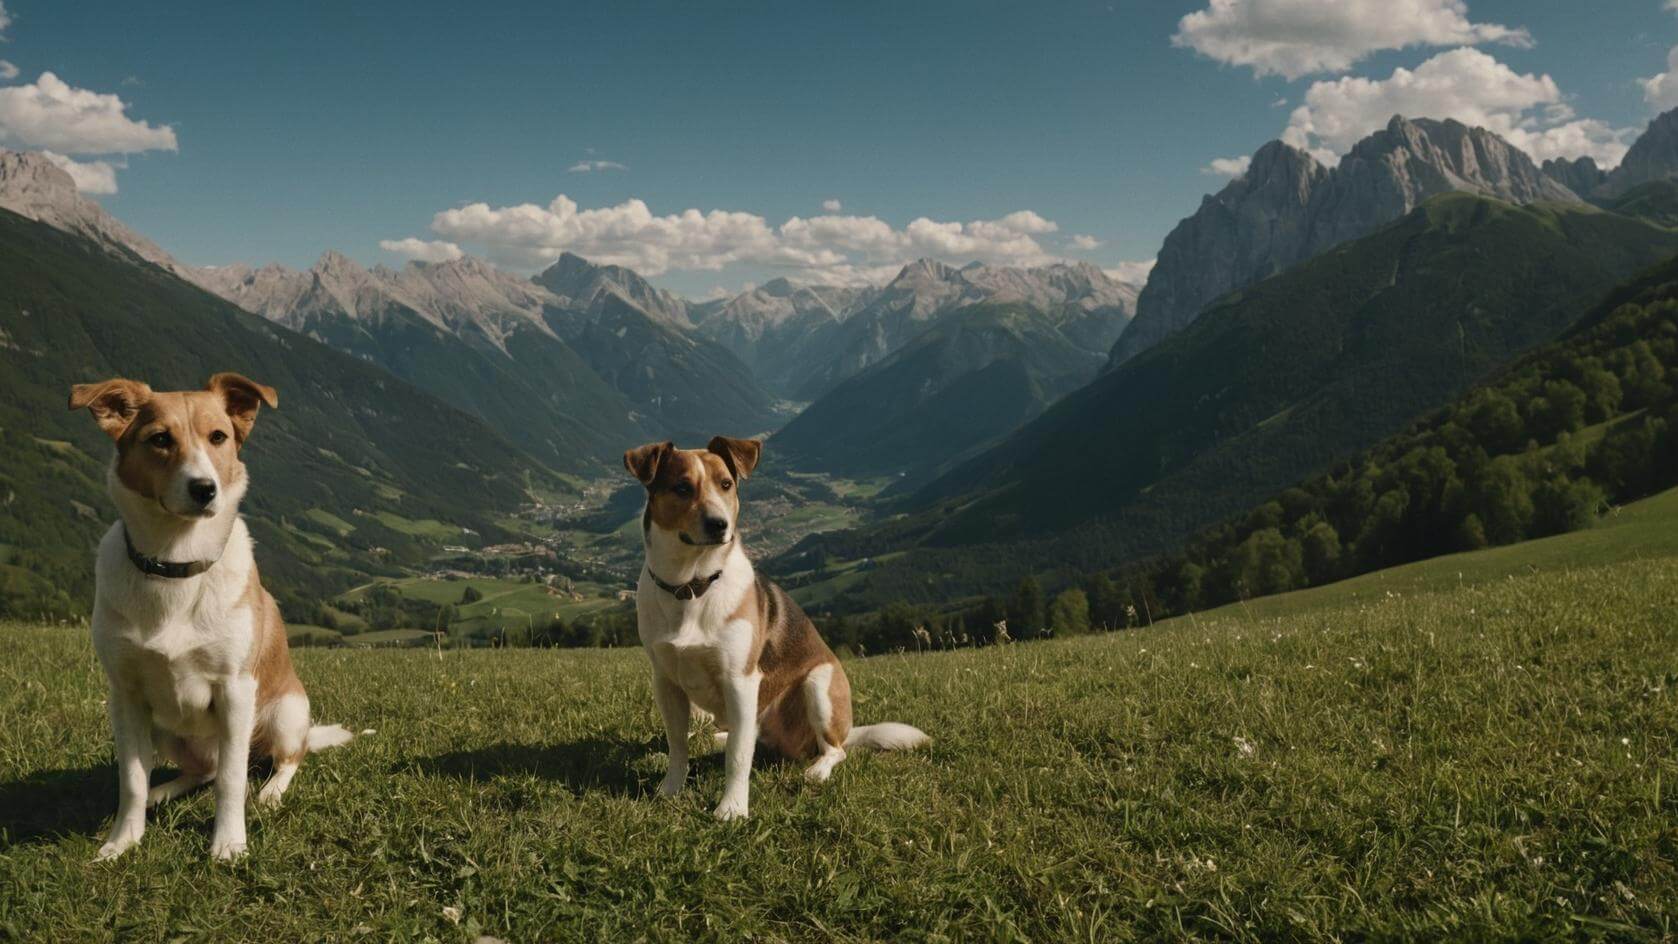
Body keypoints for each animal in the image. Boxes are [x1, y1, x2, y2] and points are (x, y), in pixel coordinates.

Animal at [70, 373, 352, 858]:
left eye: (218, 437)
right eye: (159, 439)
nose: (205, 488)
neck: (176, 564)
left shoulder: (236, 690)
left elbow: (231, 781)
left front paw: (228, 844)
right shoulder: (125, 696)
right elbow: (133, 780)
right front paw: (123, 841)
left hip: (285, 712)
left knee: (282, 759)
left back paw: (270, 792)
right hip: (166, 728)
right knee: (200, 771)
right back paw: (164, 791)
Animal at [627, 439, 926, 821]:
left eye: (726, 484)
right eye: (681, 487)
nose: (719, 525)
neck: (692, 585)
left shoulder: (740, 681)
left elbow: (738, 756)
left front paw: (732, 809)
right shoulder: (666, 682)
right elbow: (677, 744)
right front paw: (670, 790)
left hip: (818, 684)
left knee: (833, 749)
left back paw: (817, 770)